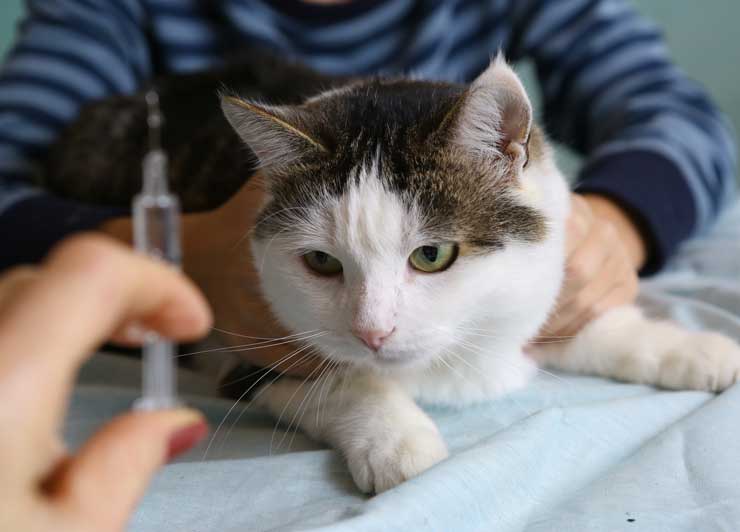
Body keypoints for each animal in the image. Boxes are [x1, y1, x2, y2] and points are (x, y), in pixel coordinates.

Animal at [42, 51, 740, 494]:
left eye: (432, 256)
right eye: (321, 262)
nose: (372, 332)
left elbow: (580, 323)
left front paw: (690, 348)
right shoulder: (244, 344)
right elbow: (340, 383)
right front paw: (400, 443)